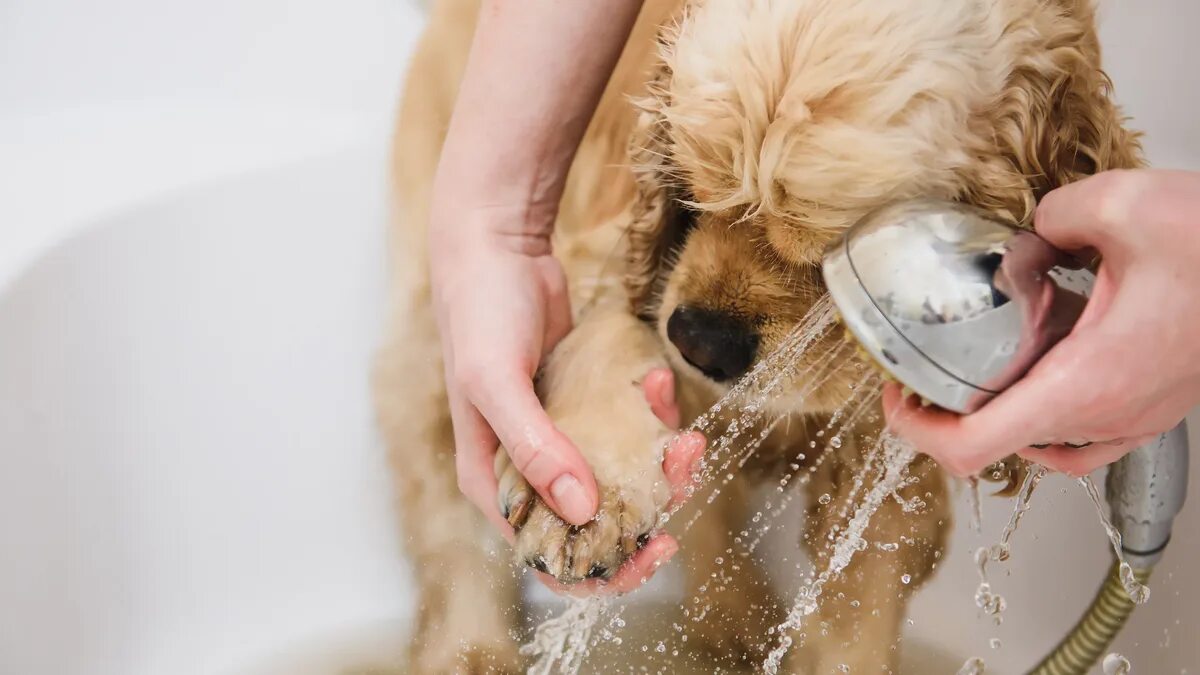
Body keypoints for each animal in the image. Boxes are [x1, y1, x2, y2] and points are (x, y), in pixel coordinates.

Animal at [376, 1, 1142, 667]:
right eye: (690, 187)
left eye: (836, 254)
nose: (699, 340)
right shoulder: (612, 256)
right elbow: (604, 336)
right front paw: (584, 499)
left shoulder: (890, 463)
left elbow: (855, 613)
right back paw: (471, 652)